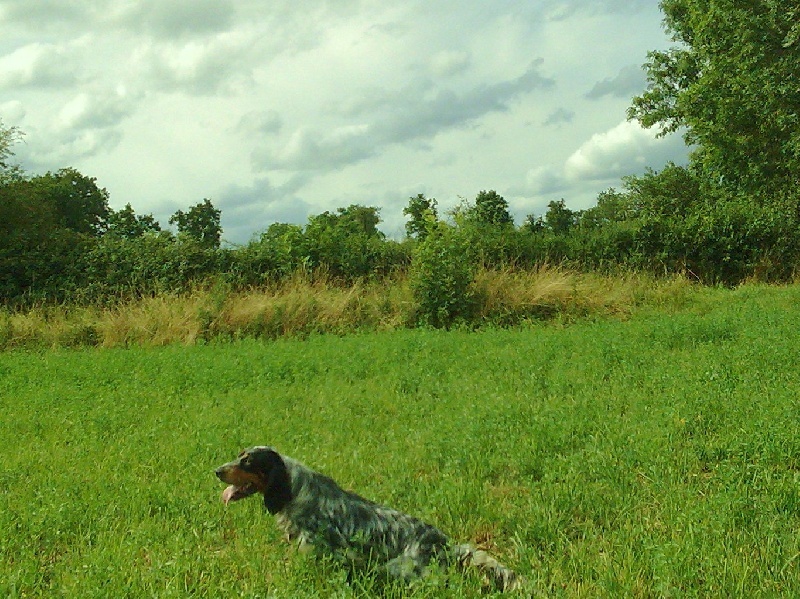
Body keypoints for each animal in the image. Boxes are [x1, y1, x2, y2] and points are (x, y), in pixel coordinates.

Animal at [216, 446, 520, 592]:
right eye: (239, 455)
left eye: (247, 461)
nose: (217, 471)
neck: (294, 489)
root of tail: (445, 543)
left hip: (400, 568)